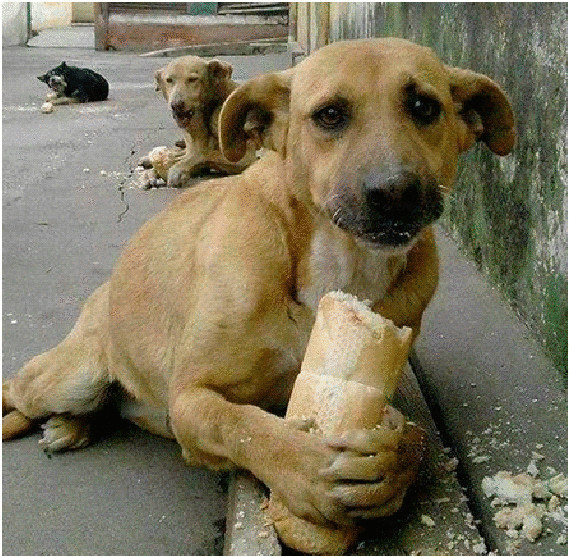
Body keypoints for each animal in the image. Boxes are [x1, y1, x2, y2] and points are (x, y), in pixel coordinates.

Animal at [141, 55, 256, 188]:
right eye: (169, 80)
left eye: (193, 79)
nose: (176, 105)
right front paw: (153, 171)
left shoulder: (247, 157)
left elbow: (203, 155)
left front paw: (176, 169)